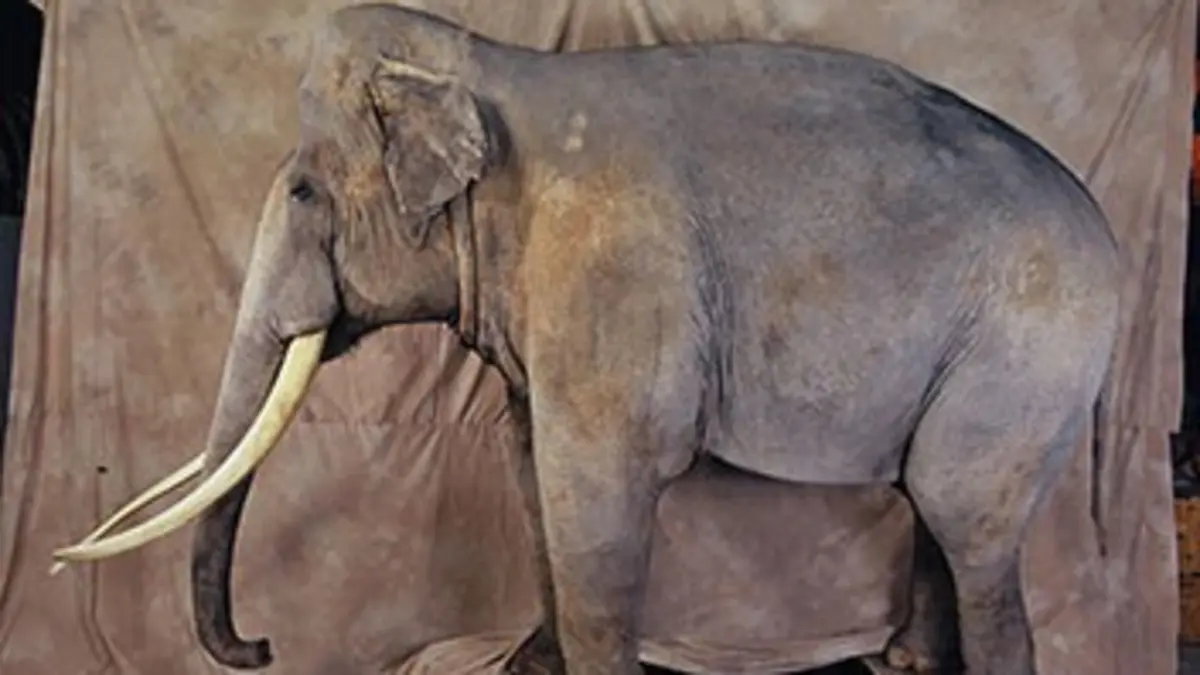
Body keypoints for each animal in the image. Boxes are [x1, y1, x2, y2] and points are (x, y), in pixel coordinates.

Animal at [51, 3, 1121, 674]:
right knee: (936, 502)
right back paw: (902, 660)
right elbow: (532, 471)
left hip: (1027, 351)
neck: (484, 67)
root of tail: (1111, 240)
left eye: (307, 191)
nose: (264, 647)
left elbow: (594, 491)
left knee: (969, 519)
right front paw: (533, 659)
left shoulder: (609, 273)